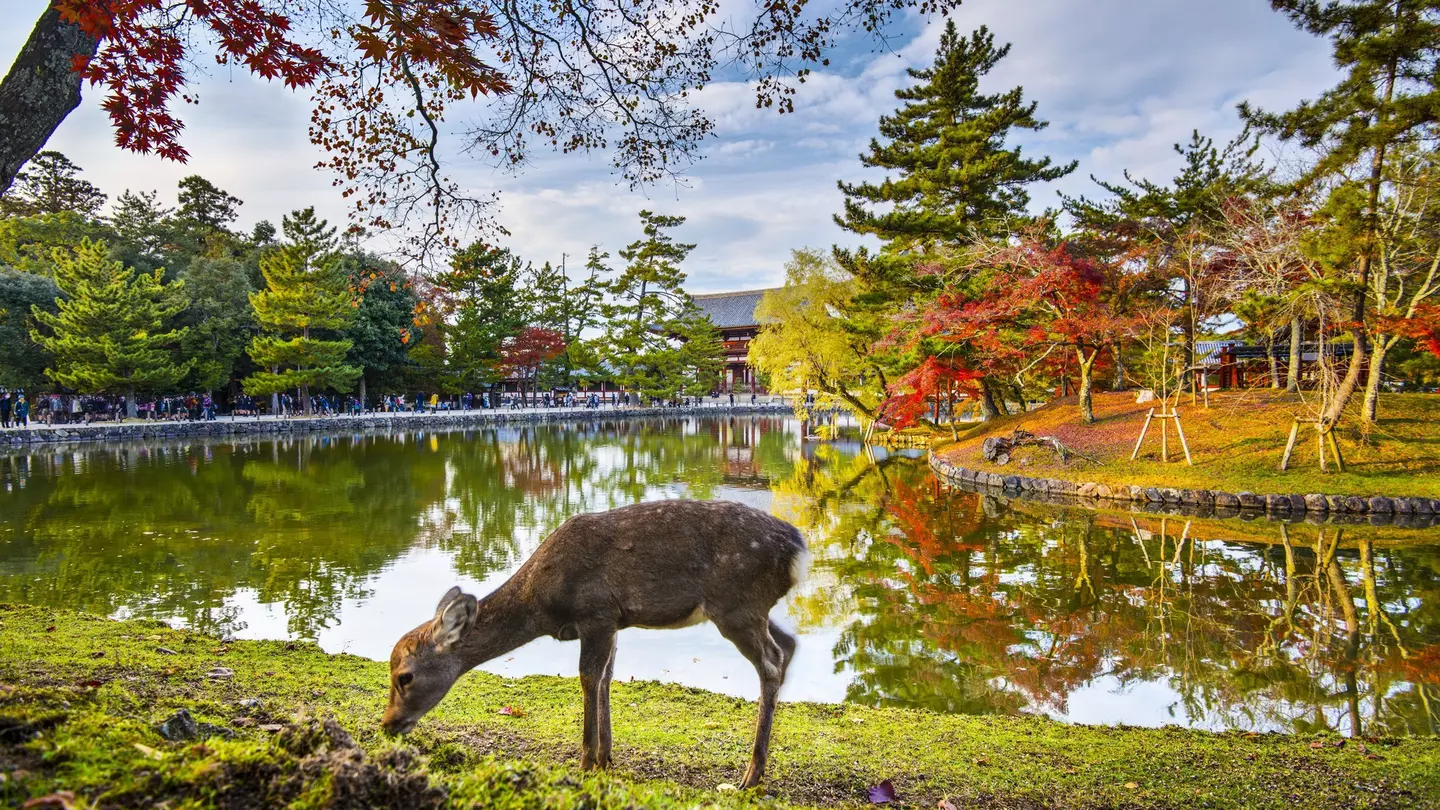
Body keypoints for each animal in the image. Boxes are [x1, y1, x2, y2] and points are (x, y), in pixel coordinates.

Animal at [381, 499, 809, 789]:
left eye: (404, 676)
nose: (387, 724)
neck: (542, 602)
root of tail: (798, 550)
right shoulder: (613, 621)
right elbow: (606, 677)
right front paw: (605, 757)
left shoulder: (596, 612)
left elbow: (589, 677)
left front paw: (586, 761)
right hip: (750, 608)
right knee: (788, 644)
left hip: (736, 603)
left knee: (771, 661)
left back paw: (750, 775)